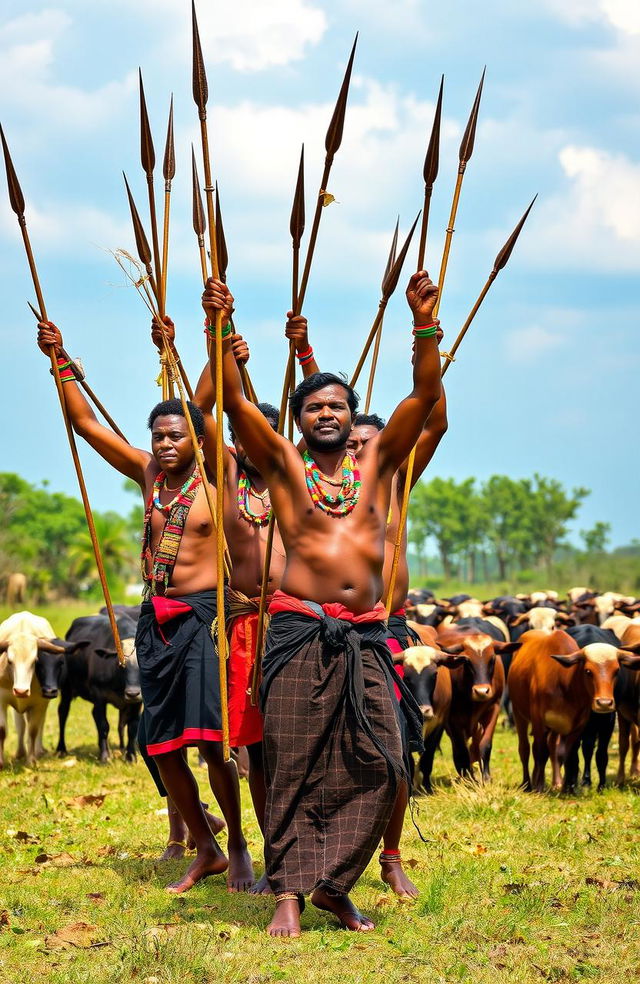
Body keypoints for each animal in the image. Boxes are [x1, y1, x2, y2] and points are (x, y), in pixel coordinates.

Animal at [58, 612, 141, 764]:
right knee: (63, 713)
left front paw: (131, 756)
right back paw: (61, 749)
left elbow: (132, 728)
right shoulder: (99, 696)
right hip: (67, 689)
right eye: (121, 665)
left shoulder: (138, 702)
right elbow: (103, 725)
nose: (132, 693)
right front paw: (105, 756)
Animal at [510, 632, 640, 792]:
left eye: (616, 671)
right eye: (588, 671)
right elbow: (541, 753)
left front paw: (568, 788)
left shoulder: (576, 727)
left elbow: (567, 755)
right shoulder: (539, 722)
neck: (564, 683)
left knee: (552, 748)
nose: (604, 703)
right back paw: (528, 783)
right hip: (518, 713)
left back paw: (556, 782)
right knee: (525, 749)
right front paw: (539, 787)